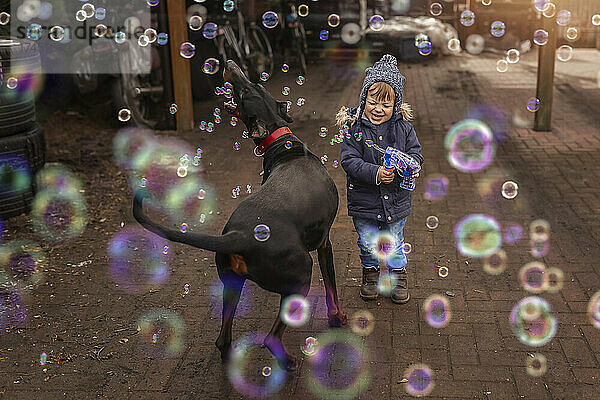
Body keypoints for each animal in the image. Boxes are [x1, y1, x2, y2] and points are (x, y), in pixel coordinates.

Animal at [131, 60, 346, 372]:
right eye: (245, 90)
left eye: (254, 85)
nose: (230, 64)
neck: (284, 145)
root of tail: (238, 235)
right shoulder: (324, 243)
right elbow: (331, 287)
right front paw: (336, 317)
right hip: (301, 272)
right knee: (270, 336)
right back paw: (287, 360)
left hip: (232, 282)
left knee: (223, 338)